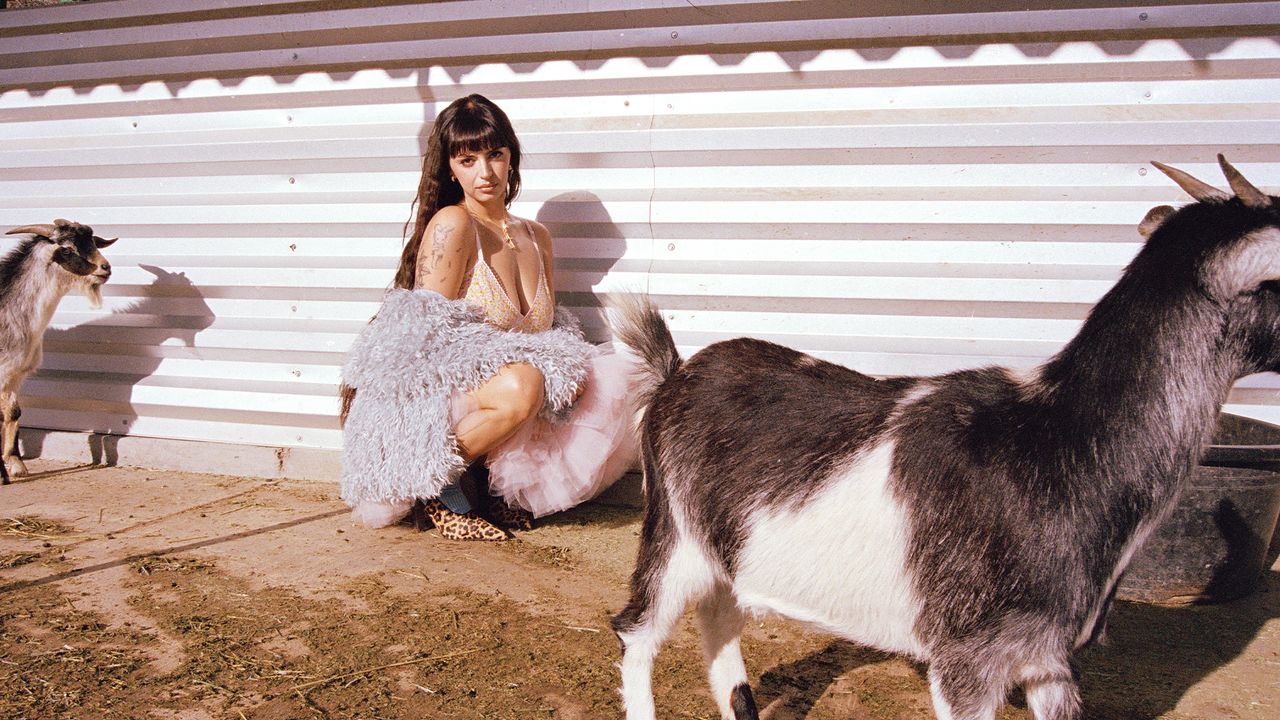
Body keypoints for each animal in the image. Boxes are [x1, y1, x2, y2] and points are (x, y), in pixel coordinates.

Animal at [0, 215, 113, 479]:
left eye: (93, 242)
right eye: (68, 249)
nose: (105, 268)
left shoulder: (15, 374)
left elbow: (14, 412)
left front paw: (16, 464)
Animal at [606, 156, 1280, 717]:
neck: (1059, 437)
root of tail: (676, 371)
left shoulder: (1049, 659)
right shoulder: (967, 660)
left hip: (724, 553)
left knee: (719, 620)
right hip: (672, 533)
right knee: (637, 632)